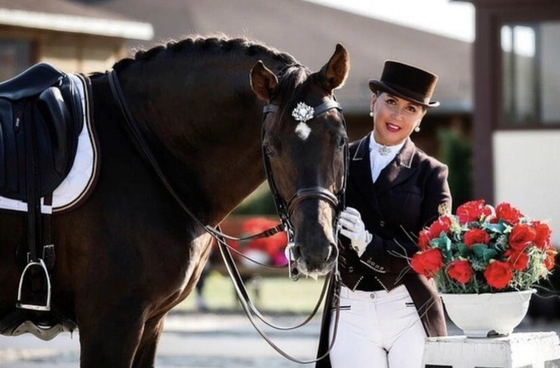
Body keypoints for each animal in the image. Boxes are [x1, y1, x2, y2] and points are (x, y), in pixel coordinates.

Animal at [0, 35, 350, 368]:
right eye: (270, 146)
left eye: (340, 140)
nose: (316, 250)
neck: (140, 145)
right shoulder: (111, 321)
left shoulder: (149, 322)